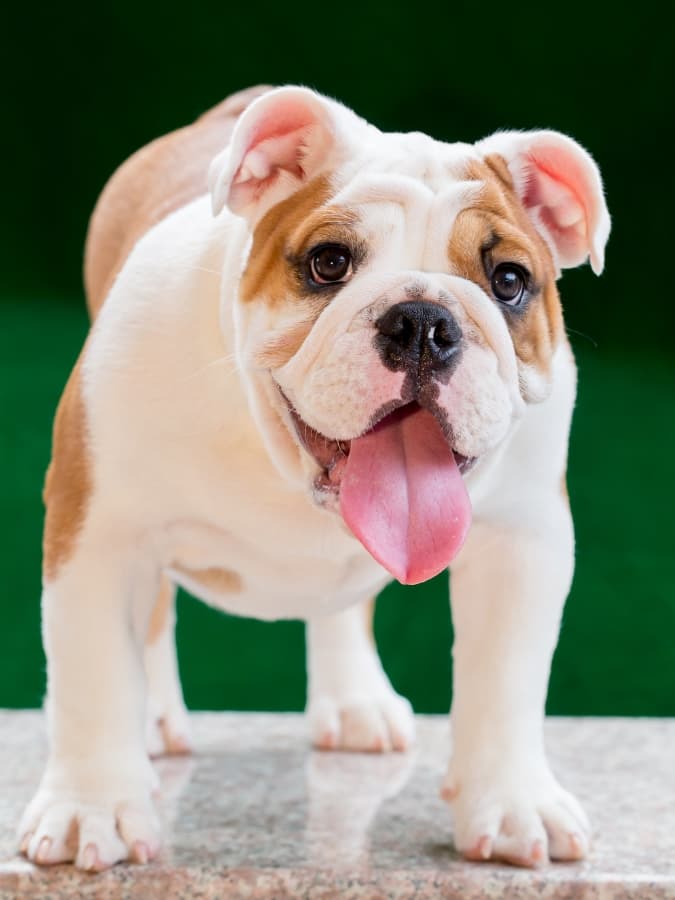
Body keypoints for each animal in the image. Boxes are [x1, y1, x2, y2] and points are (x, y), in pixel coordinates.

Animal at [19, 86, 612, 872]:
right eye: (329, 263)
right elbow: (94, 671)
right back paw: (154, 718)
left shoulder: (521, 542)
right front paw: (90, 809)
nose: (422, 320)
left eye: (510, 282)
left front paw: (514, 804)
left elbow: (506, 681)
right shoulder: (99, 529)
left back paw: (356, 703)